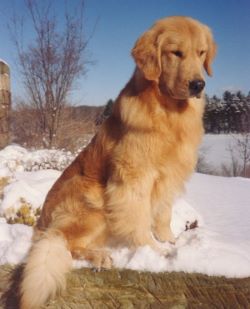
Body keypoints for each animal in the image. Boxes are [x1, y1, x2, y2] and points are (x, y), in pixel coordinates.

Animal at [20, 17, 216, 308]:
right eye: (176, 53)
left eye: (201, 53)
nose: (197, 85)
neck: (168, 111)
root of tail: (42, 226)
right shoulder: (134, 177)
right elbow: (139, 218)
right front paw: (154, 251)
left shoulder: (168, 177)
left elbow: (163, 215)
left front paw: (170, 242)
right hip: (94, 204)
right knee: (66, 243)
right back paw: (99, 255)